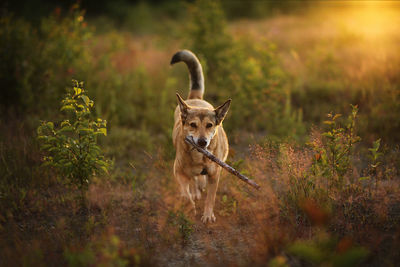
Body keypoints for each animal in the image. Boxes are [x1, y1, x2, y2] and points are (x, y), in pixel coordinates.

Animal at [170, 50, 231, 224]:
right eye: (193, 125)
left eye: (209, 125)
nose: (202, 142)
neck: (199, 157)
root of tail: (196, 98)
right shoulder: (178, 172)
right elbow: (185, 193)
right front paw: (190, 206)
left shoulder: (214, 175)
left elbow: (210, 197)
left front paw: (208, 215)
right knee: (192, 180)